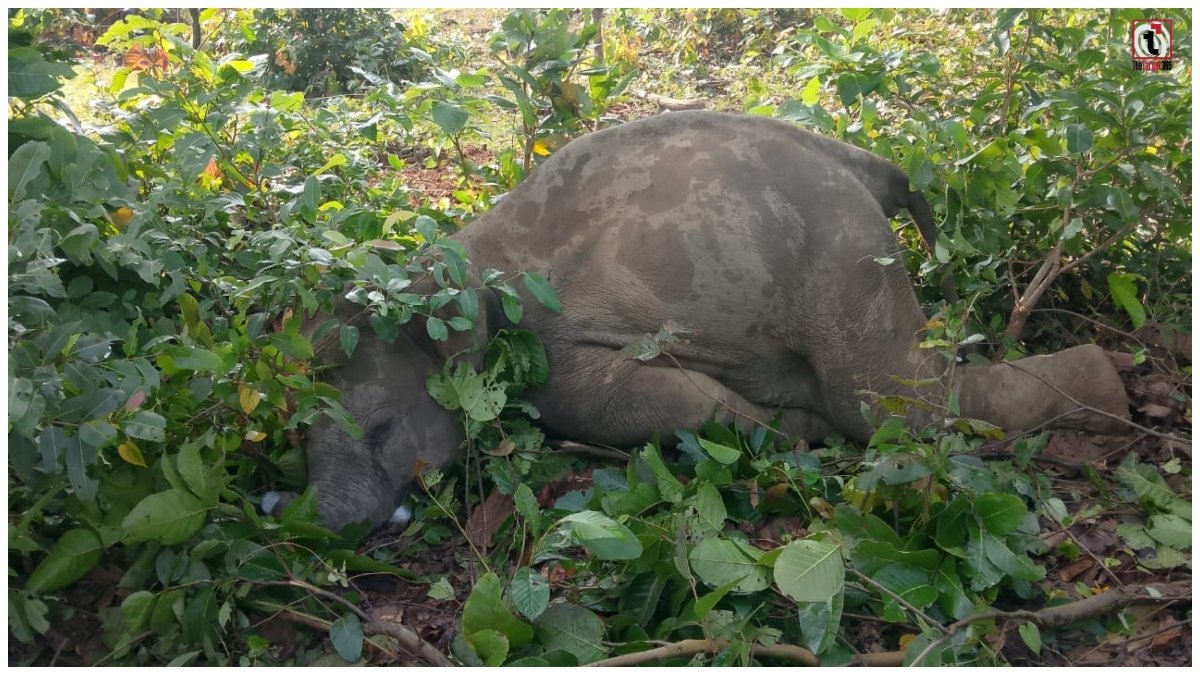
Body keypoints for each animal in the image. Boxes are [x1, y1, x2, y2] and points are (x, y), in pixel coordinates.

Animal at [279, 111, 1130, 531]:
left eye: (381, 429)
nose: (321, 525)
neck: (461, 254)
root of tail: (867, 165)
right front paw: (788, 421)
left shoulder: (555, 329)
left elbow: (588, 397)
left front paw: (787, 430)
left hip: (840, 252)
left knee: (891, 402)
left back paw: (1110, 395)